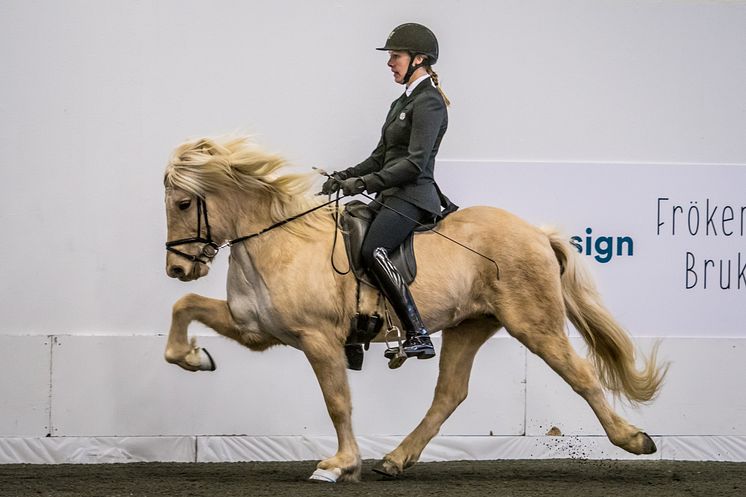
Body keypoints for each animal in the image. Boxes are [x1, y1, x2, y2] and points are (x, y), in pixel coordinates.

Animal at [161, 135, 664, 480]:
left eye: (184, 203)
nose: (176, 268)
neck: (277, 242)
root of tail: (536, 232)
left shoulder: (318, 338)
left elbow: (337, 401)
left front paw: (339, 464)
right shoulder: (256, 330)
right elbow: (185, 306)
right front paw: (194, 357)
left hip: (535, 325)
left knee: (581, 375)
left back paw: (634, 439)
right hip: (469, 326)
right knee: (450, 394)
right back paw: (395, 459)